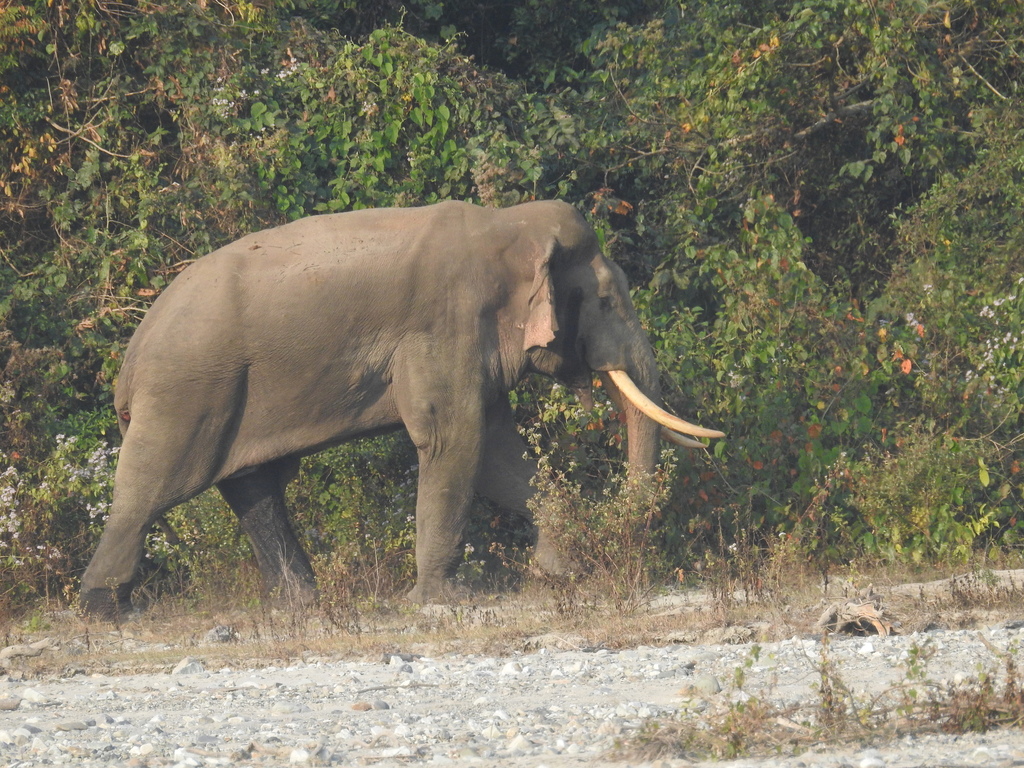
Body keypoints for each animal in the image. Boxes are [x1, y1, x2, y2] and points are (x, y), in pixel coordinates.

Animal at [79, 200, 723, 618]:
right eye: (607, 300)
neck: (506, 225)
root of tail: (132, 353)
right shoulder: (444, 323)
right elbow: (455, 440)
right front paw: (444, 601)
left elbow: (496, 450)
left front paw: (558, 573)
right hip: (187, 390)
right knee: (153, 486)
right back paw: (105, 610)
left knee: (253, 486)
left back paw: (301, 606)